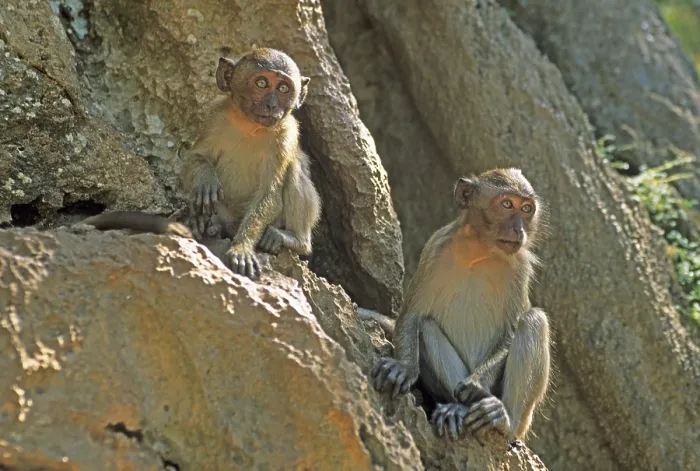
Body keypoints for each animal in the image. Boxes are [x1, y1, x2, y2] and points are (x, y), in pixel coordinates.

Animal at [179, 47, 321, 281]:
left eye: (283, 88)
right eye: (261, 83)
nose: (272, 105)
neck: (250, 126)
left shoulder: (286, 135)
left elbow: (269, 194)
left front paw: (242, 247)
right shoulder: (215, 116)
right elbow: (194, 157)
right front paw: (205, 179)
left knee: (293, 169)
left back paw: (293, 239)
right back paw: (208, 223)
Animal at [360, 168, 551, 444]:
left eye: (526, 209)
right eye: (507, 204)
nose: (519, 229)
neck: (480, 250)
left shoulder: (520, 267)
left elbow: (511, 331)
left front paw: (475, 386)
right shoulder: (435, 248)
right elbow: (413, 315)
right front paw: (404, 367)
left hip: (523, 419)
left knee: (534, 320)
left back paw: (503, 420)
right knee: (426, 326)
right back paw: (457, 408)